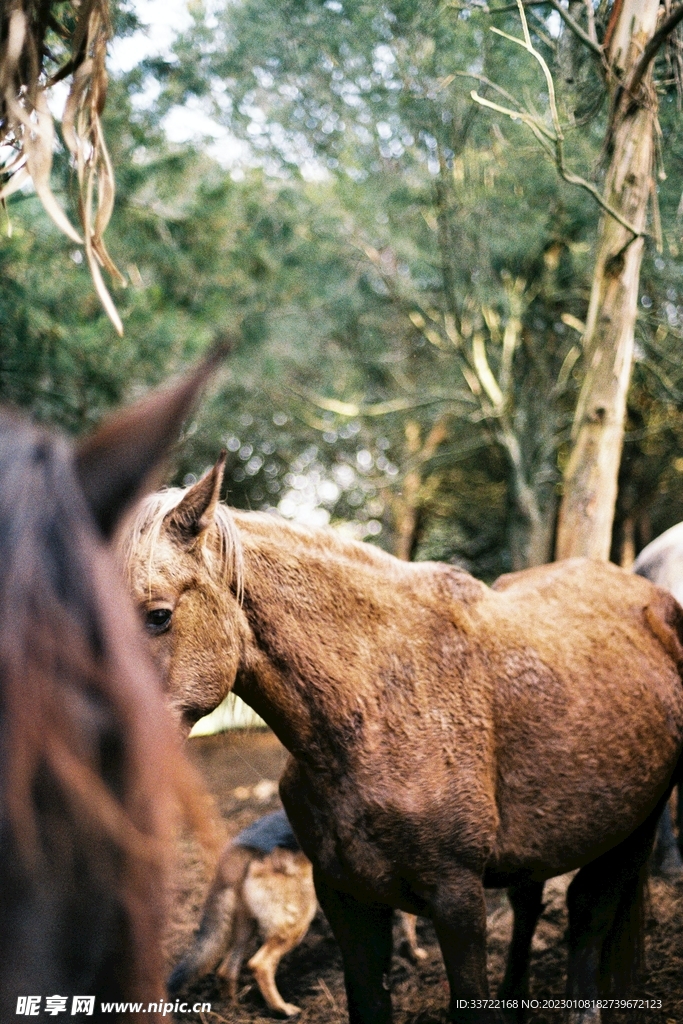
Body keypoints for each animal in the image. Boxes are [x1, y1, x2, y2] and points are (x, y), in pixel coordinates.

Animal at [121, 455, 683, 1024]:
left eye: (159, 615)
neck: (376, 713)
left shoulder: (457, 900)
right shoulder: (345, 897)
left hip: (633, 825)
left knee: (589, 915)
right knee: (531, 905)